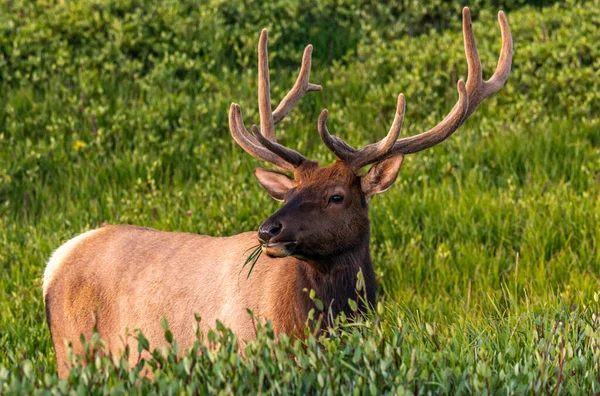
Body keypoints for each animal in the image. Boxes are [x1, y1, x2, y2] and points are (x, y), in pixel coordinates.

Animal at [43, 7, 510, 376]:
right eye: (288, 193)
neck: (322, 323)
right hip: (74, 353)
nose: (268, 231)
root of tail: (54, 262)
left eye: (337, 196)